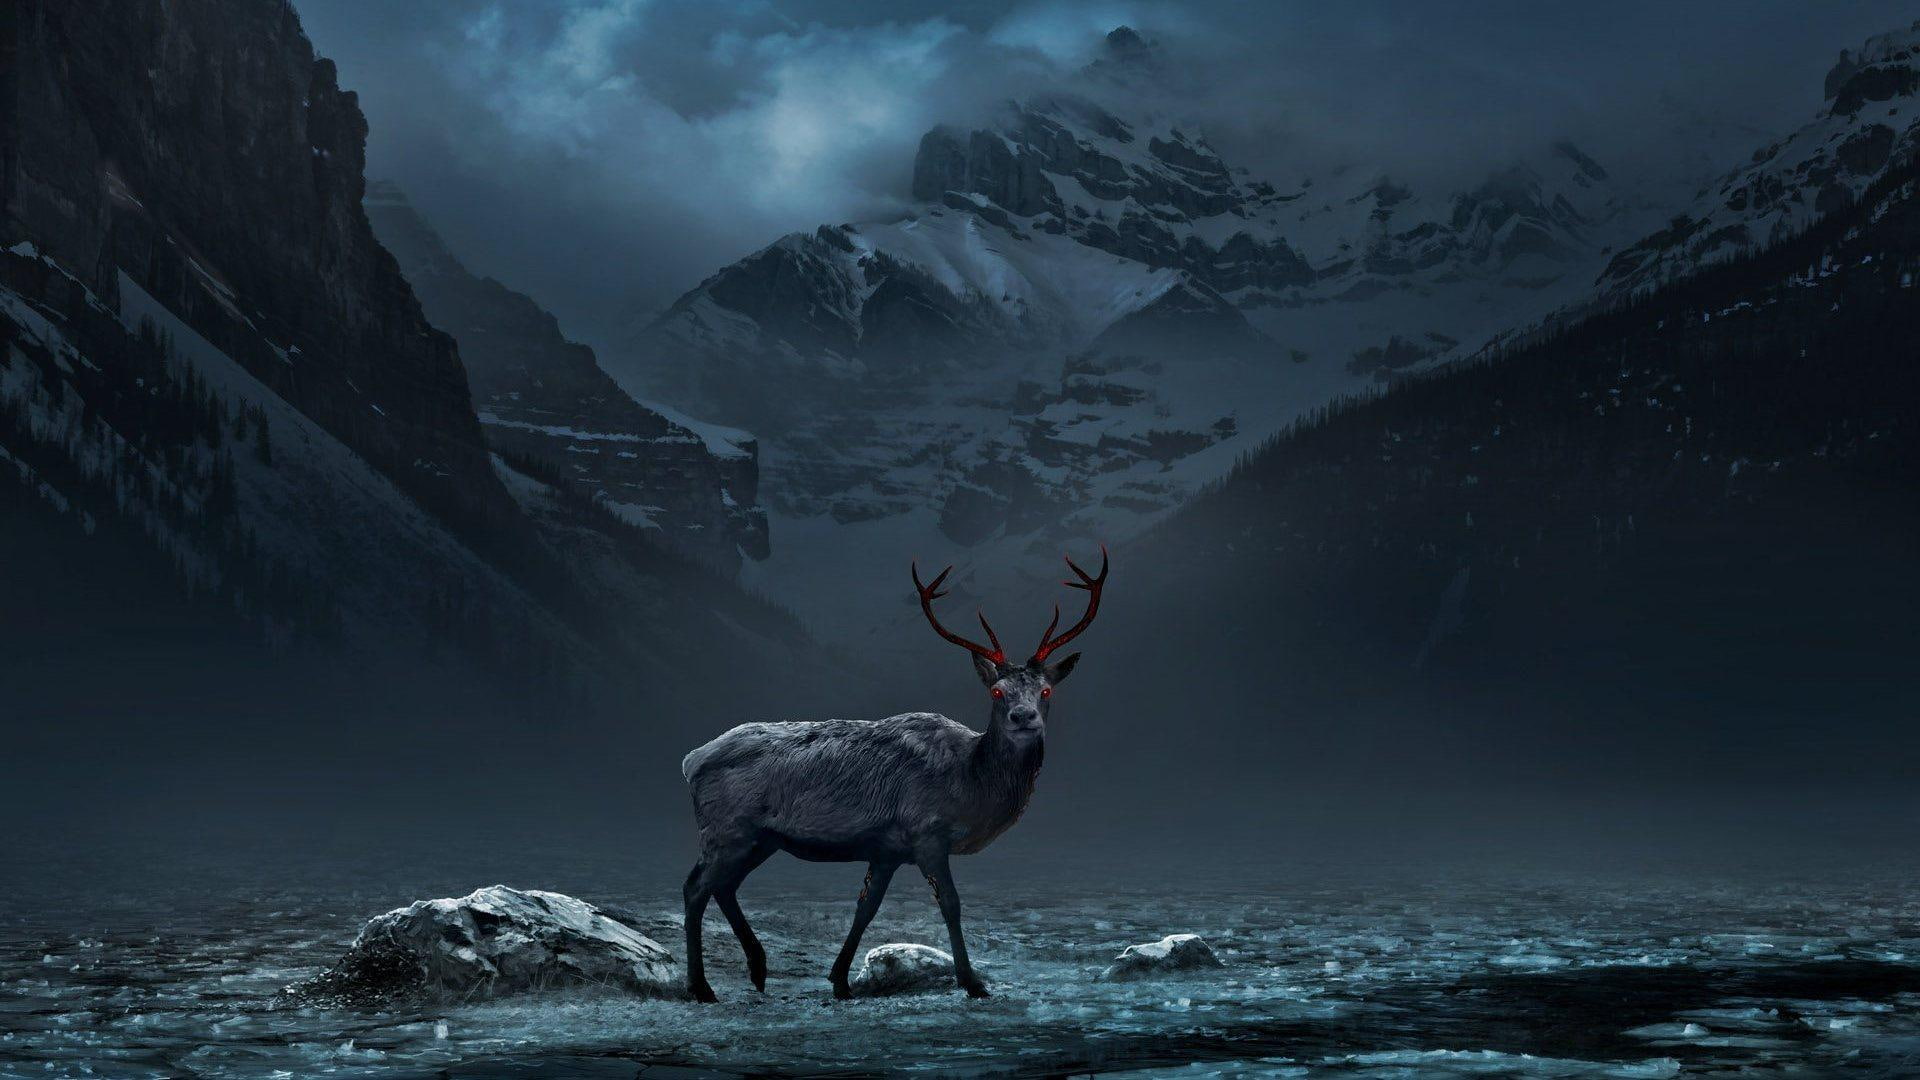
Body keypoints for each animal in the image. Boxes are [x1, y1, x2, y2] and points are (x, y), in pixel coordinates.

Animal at [677, 549, 1108, 1002]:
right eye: (997, 692)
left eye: (1046, 690)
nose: (1023, 716)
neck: (970, 783)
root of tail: (691, 761)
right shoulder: (927, 833)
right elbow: (951, 904)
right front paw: (973, 982)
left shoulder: (886, 849)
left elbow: (865, 907)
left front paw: (840, 980)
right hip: (727, 829)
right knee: (695, 888)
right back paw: (701, 986)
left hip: (760, 839)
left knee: (724, 886)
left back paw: (758, 968)